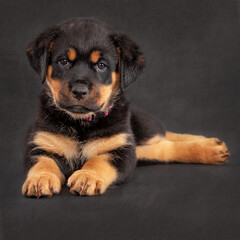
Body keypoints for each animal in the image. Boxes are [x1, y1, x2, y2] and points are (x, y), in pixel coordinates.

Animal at [22, 18, 229, 198]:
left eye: (101, 65)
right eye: (63, 61)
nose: (79, 91)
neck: (82, 124)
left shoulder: (121, 150)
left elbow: (99, 160)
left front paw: (87, 176)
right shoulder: (40, 144)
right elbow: (42, 162)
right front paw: (40, 179)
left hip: (141, 129)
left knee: (164, 138)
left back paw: (210, 147)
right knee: (162, 147)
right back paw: (210, 145)